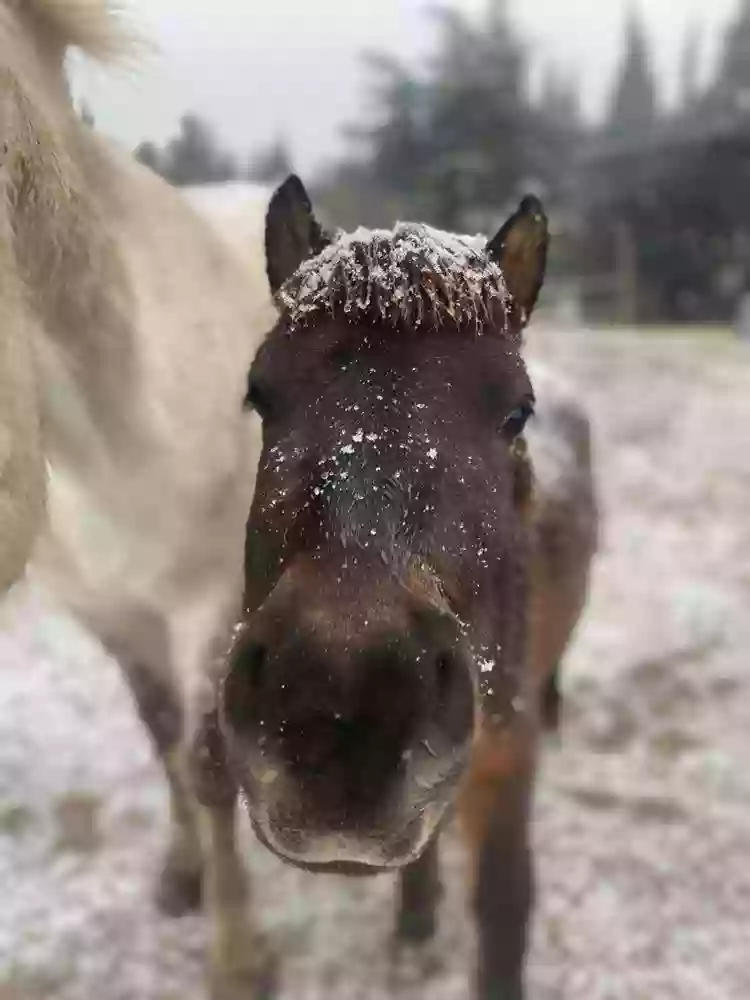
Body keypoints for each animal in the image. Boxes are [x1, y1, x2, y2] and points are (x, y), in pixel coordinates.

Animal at [1, 3, 280, 996]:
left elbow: (204, 765)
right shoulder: (110, 615)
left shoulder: (209, 603)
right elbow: (160, 738)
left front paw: (238, 959)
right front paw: (180, 875)